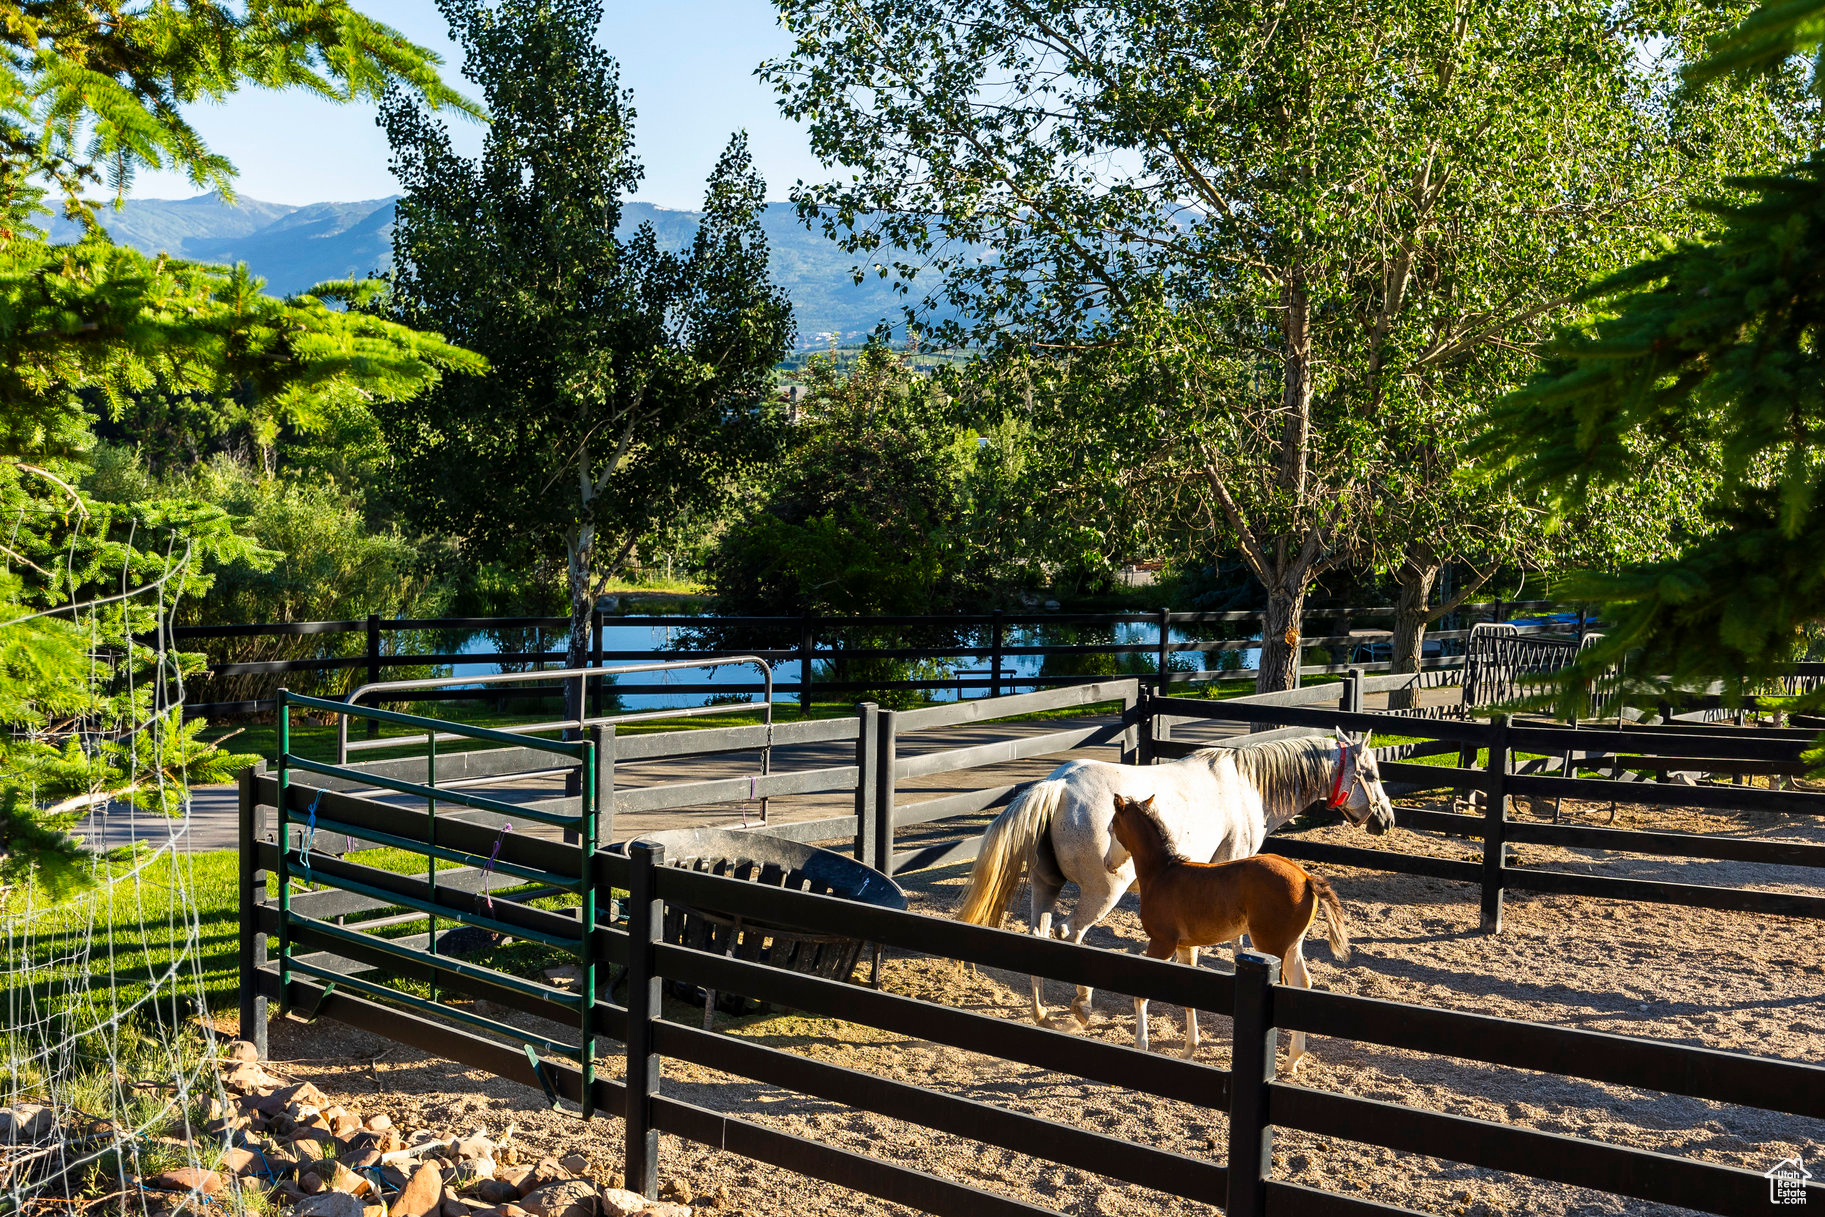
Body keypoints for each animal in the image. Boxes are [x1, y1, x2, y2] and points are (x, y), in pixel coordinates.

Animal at [956, 733, 1394, 1029]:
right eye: (1371, 774)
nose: (1386, 819)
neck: (1246, 784)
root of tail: (1060, 785)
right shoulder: (1232, 862)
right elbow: (1238, 939)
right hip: (1101, 894)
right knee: (1071, 933)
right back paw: (1081, 1006)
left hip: (1046, 886)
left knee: (1039, 935)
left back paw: (1041, 1009)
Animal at [1109, 795, 1357, 1072]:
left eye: (1111, 828)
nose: (1108, 865)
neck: (1161, 874)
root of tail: (1305, 878)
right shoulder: (1186, 946)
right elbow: (1187, 993)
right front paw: (1188, 1049)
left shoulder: (1162, 943)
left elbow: (1142, 992)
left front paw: (1140, 1044)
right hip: (1293, 945)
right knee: (1301, 983)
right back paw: (1292, 1060)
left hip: (1271, 944)